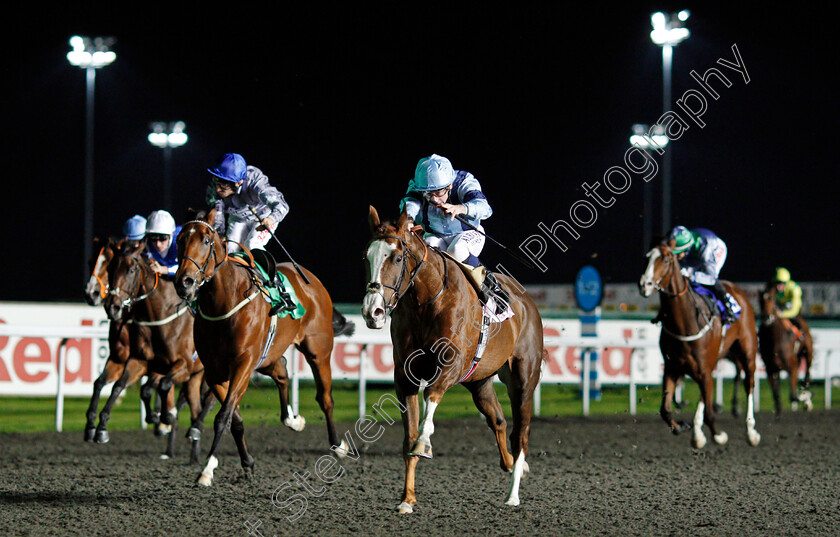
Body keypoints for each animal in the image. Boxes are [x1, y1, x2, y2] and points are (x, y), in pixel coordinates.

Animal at [102, 240, 215, 460]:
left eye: (131, 270)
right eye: (110, 269)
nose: (112, 307)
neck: (161, 315)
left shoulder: (183, 365)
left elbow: (162, 386)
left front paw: (165, 417)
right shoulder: (141, 361)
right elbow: (125, 386)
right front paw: (102, 427)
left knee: (209, 402)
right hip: (195, 376)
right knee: (195, 406)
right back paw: (193, 453)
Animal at [174, 207, 348, 484]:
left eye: (206, 240)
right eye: (180, 239)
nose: (184, 282)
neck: (224, 302)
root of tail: (312, 279)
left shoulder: (243, 363)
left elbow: (223, 416)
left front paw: (207, 469)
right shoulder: (214, 371)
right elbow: (234, 417)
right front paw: (246, 462)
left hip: (318, 351)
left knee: (325, 398)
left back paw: (337, 445)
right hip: (268, 356)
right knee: (282, 371)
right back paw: (293, 420)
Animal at [360, 206, 544, 510]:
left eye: (397, 257)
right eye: (367, 256)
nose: (371, 311)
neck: (428, 300)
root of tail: (527, 301)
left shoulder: (450, 366)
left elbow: (431, 400)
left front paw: (424, 443)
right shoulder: (405, 377)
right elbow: (408, 438)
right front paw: (407, 499)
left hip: (524, 380)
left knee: (522, 433)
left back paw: (513, 493)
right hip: (479, 381)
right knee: (499, 421)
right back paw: (511, 466)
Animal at [636, 241, 760, 446]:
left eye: (666, 259)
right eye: (646, 257)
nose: (644, 284)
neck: (685, 322)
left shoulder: (702, 369)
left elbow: (710, 413)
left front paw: (719, 436)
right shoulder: (673, 367)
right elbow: (665, 410)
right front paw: (682, 426)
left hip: (747, 352)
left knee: (748, 383)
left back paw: (751, 432)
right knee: (705, 394)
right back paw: (697, 433)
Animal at [756, 284, 812, 414]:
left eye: (771, 299)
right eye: (760, 301)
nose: (767, 317)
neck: (775, 340)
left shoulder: (793, 367)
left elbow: (793, 396)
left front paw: (804, 398)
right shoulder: (771, 370)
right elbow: (777, 398)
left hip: (808, 352)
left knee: (807, 373)